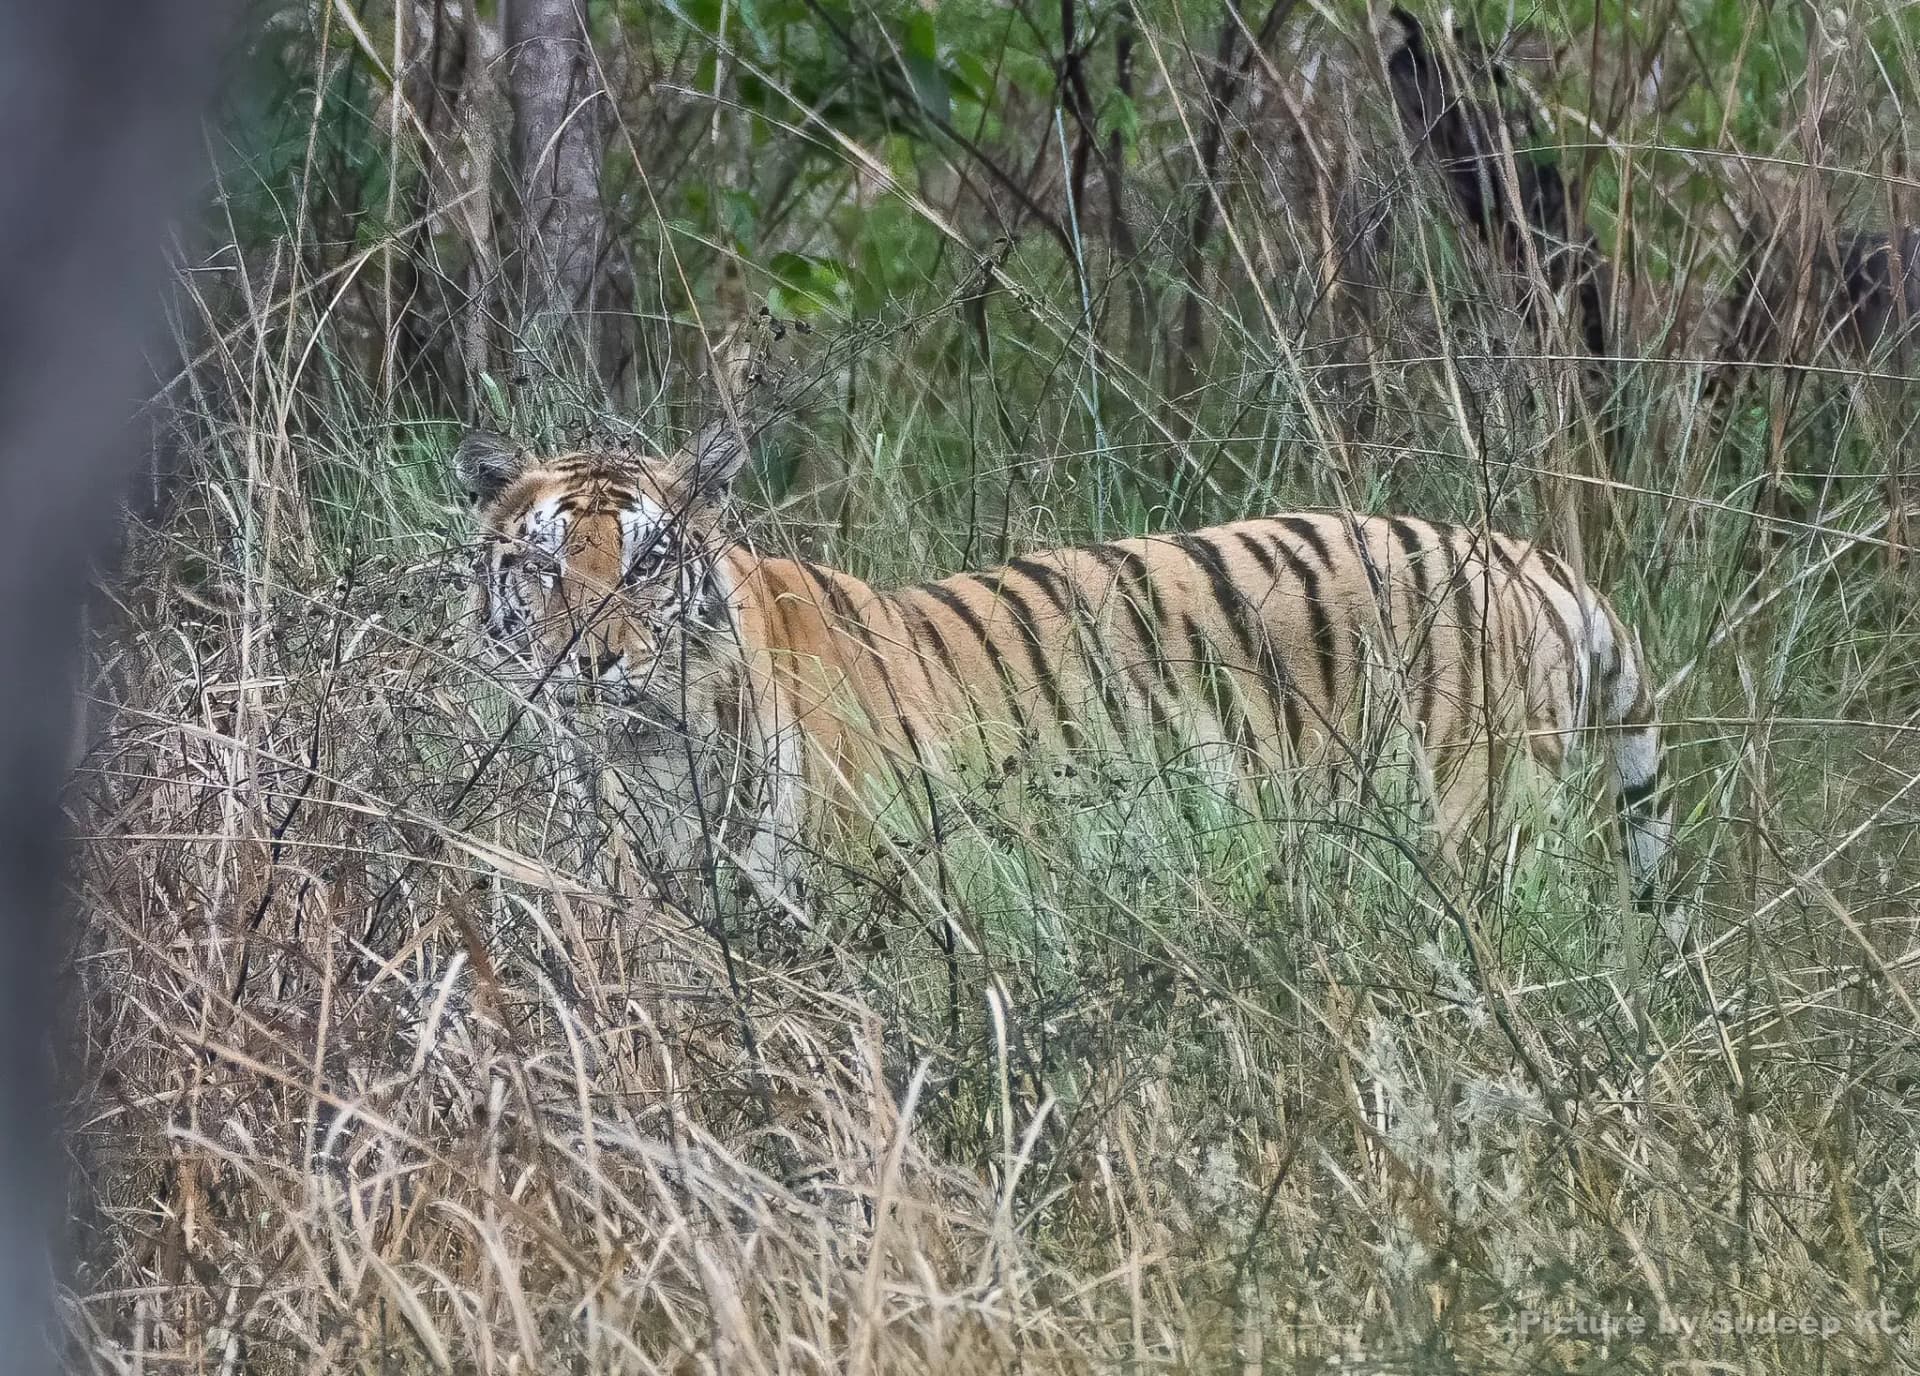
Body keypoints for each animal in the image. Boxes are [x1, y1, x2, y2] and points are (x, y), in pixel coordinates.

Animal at [452, 422, 1670, 917]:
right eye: (547, 564)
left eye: (648, 561)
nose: (591, 660)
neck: (651, 753)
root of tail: (1528, 556)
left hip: (1477, 831)